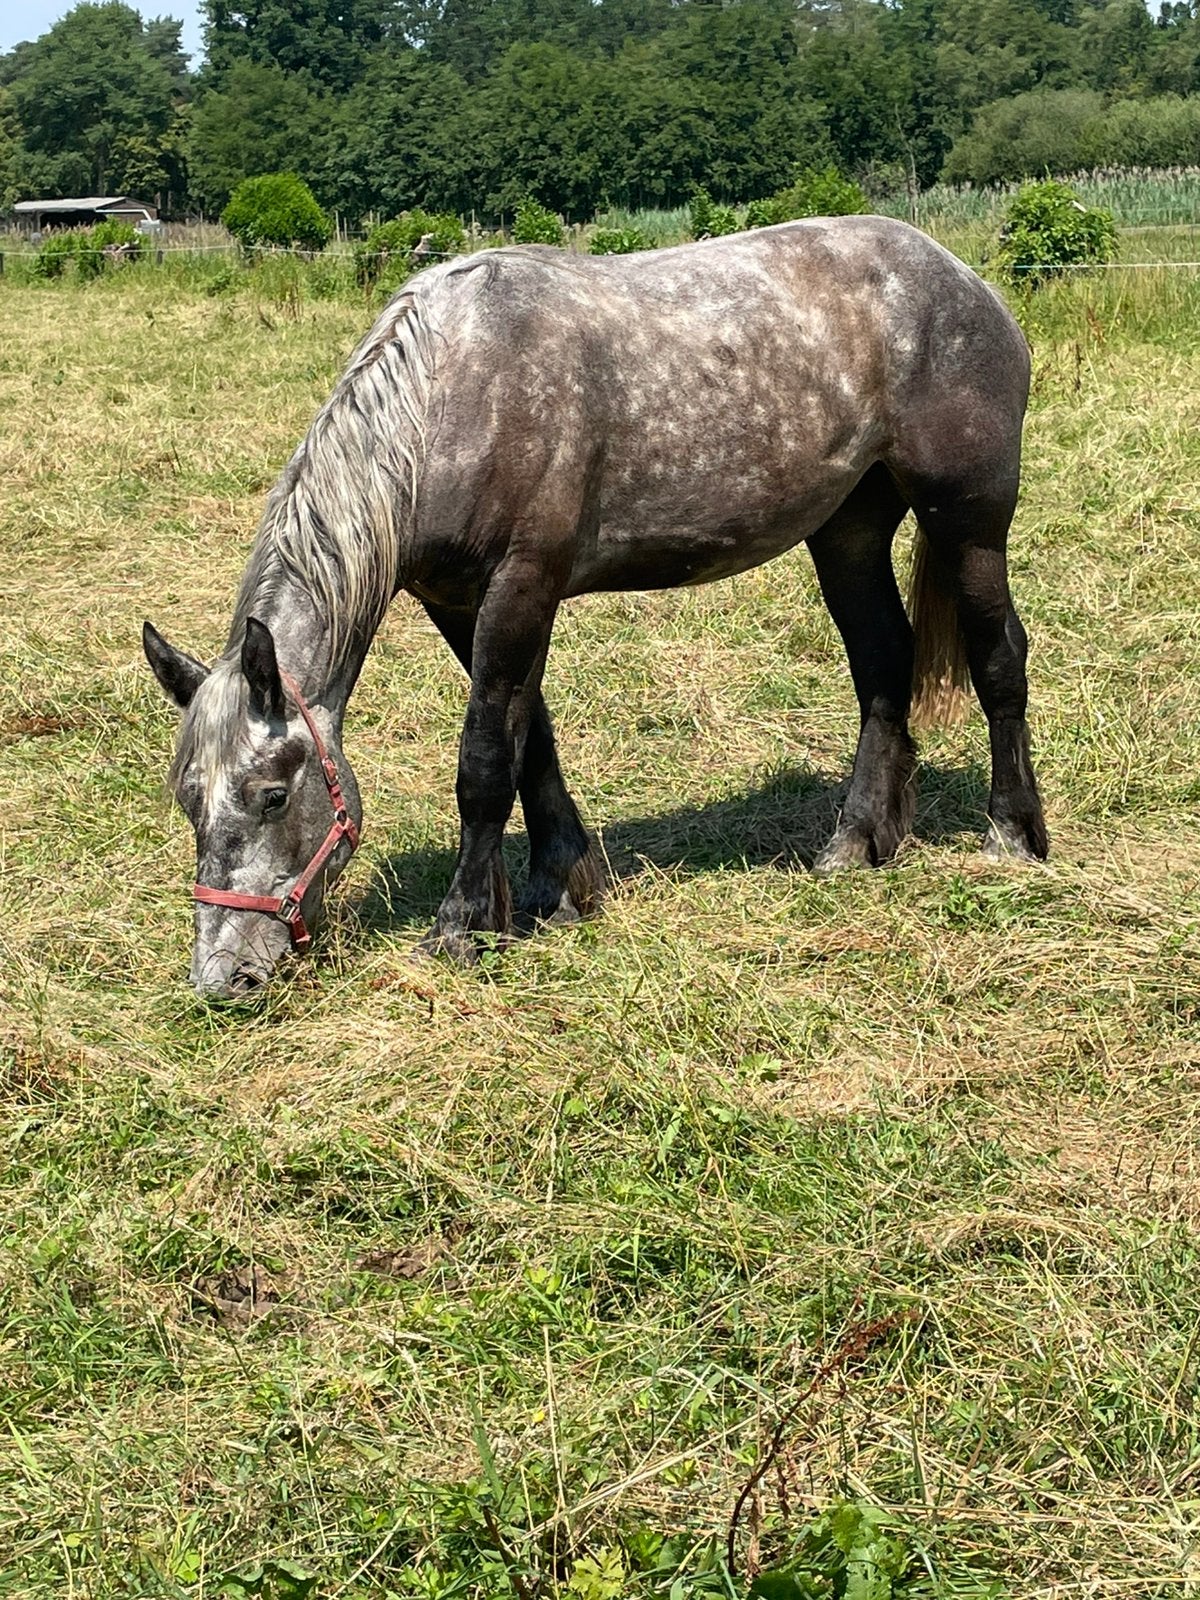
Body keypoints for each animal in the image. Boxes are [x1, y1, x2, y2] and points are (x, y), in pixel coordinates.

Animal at [143, 215, 1048, 999]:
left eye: (271, 795)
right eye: (188, 798)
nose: (224, 979)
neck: (447, 401)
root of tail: (967, 280)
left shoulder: (522, 584)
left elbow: (484, 760)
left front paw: (463, 926)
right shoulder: (461, 603)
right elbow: (530, 740)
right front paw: (557, 885)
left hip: (968, 525)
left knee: (999, 657)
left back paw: (1013, 836)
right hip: (848, 533)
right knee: (883, 666)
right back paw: (857, 842)